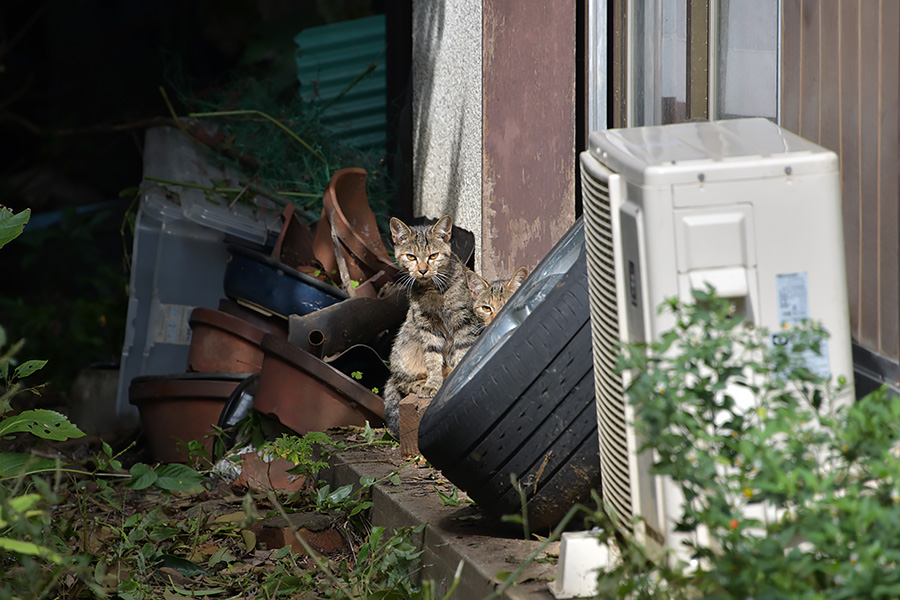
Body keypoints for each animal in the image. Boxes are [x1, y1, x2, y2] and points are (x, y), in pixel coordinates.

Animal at [380, 213, 482, 434]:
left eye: (433, 256)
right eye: (411, 257)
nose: (423, 270)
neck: (433, 292)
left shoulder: (463, 322)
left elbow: (462, 352)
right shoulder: (427, 326)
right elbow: (432, 358)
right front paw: (433, 383)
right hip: (404, 346)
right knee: (399, 381)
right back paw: (420, 383)